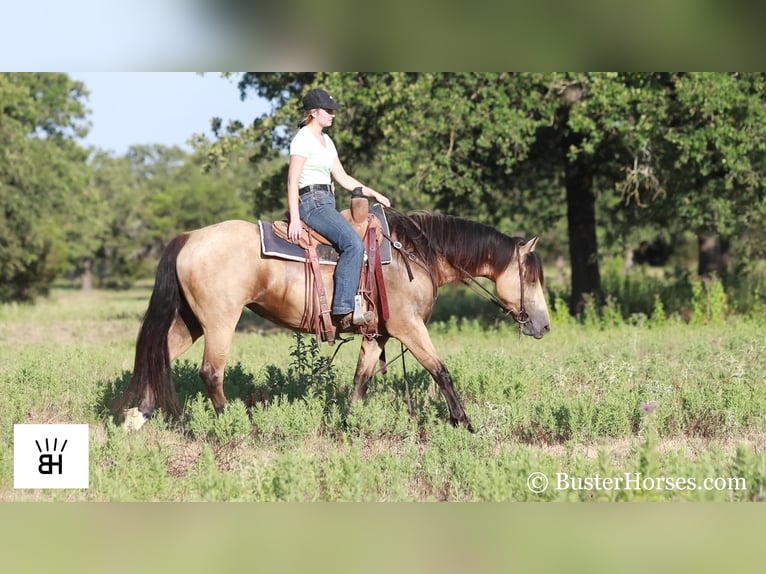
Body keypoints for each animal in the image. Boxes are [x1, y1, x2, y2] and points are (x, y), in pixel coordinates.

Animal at [117, 210, 552, 432]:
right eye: (532, 276)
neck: (414, 254)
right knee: (211, 373)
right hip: (220, 321)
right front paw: (465, 423)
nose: (544, 326)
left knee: (159, 356)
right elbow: (441, 371)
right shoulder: (410, 328)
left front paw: (348, 423)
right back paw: (235, 427)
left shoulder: (378, 335)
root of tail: (189, 237)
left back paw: (138, 416)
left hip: (191, 321)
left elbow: (361, 380)